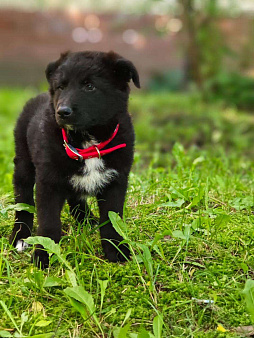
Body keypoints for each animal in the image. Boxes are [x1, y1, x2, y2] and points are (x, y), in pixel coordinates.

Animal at [9, 50, 141, 268]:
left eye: (90, 86)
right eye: (61, 87)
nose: (62, 111)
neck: (87, 143)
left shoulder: (116, 180)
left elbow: (111, 219)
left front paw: (115, 250)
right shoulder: (48, 181)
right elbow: (49, 222)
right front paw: (43, 254)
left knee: (74, 195)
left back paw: (86, 219)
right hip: (23, 162)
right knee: (24, 202)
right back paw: (20, 236)